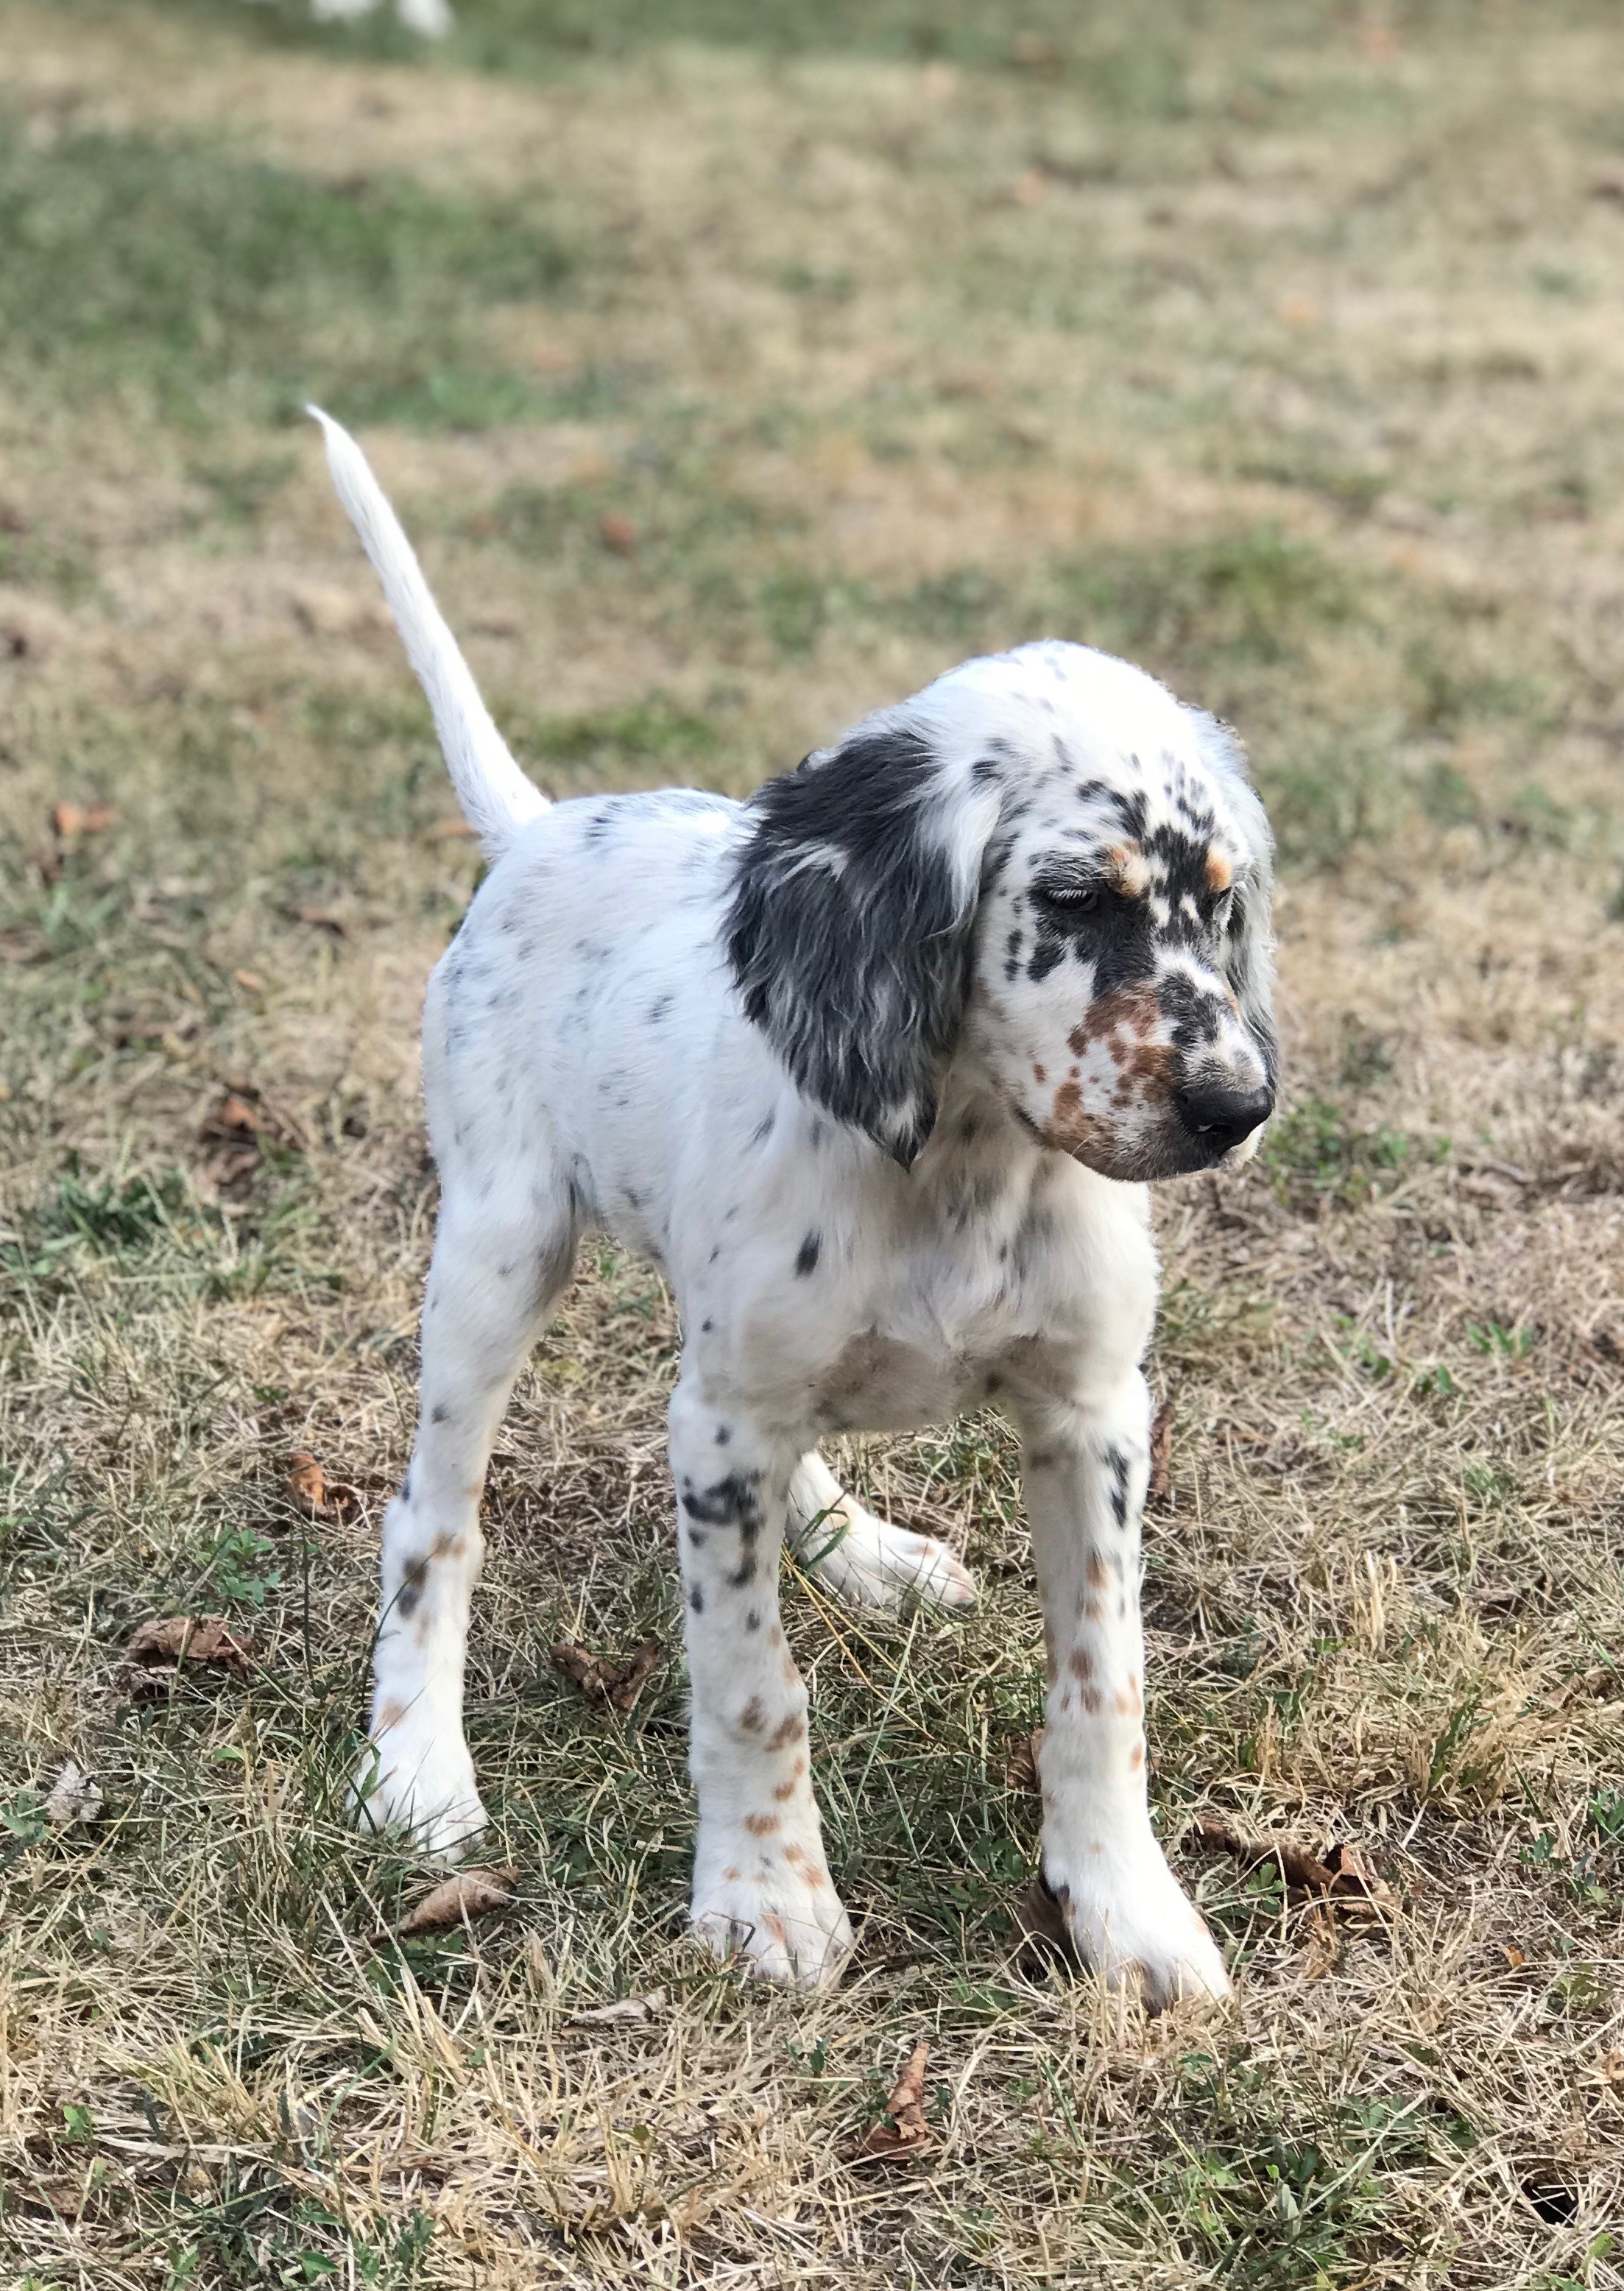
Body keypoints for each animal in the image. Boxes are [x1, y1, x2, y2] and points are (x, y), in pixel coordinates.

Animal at [314, 412, 1282, 2007]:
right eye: (1074, 897)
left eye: (1220, 898)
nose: (1235, 1103)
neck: (961, 1165)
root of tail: (544, 828)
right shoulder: (723, 1435)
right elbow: (751, 1683)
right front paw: (764, 1895)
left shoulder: (1093, 1409)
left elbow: (1104, 1683)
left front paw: (1125, 1905)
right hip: (500, 1252)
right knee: (431, 1518)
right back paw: (417, 1764)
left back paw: (857, 1545)